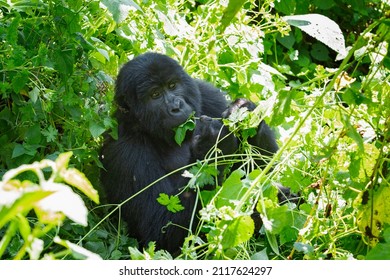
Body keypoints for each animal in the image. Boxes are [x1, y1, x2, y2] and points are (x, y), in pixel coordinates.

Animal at [99, 52, 278, 254]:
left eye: (172, 85)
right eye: (155, 95)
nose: (176, 106)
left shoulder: (208, 94)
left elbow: (267, 175)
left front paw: (246, 112)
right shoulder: (124, 152)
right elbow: (158, 230)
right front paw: (213, 145)